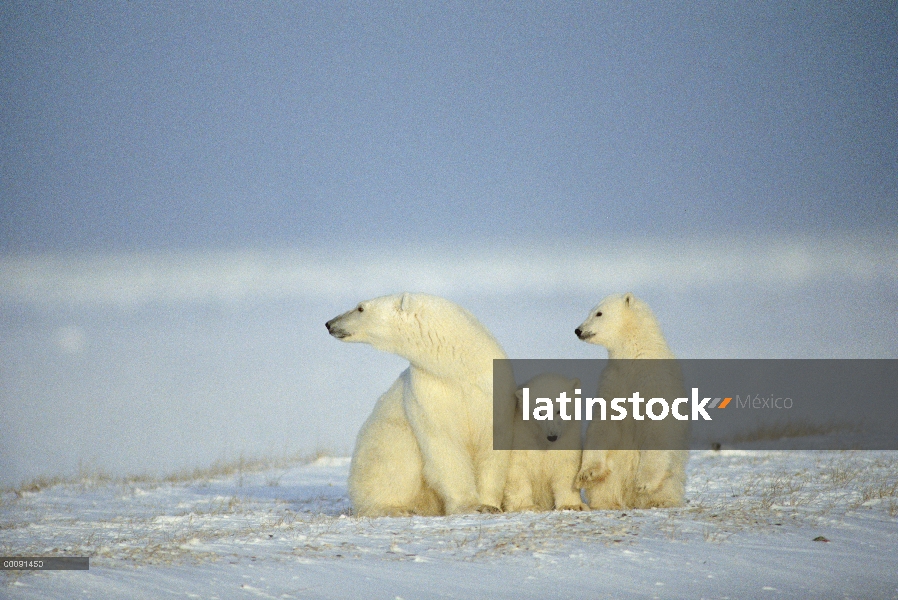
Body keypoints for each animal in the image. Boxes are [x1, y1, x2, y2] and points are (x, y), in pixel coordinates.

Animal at [328, 294, 512, 516]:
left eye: (360, 308)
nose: (330, 324)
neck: (459, 367)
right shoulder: (427, 392)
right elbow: (443, 443)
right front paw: (469, 505)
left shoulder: (490, 389)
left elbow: (492, 444)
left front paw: (489, 505)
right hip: (383, 440)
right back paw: (396, 508)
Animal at [576, 292, 688, 508]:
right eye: (591, 311)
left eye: (598, 313)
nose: (578, 330)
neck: (635, 356)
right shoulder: (613, 381)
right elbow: (602, 423)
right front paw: (588, 473)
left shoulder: (653, 380)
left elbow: (657, 425)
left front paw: (643, 483)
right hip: (615, 471)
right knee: (605, 485)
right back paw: (607, 502)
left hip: (673, 474)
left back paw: (659, 500)